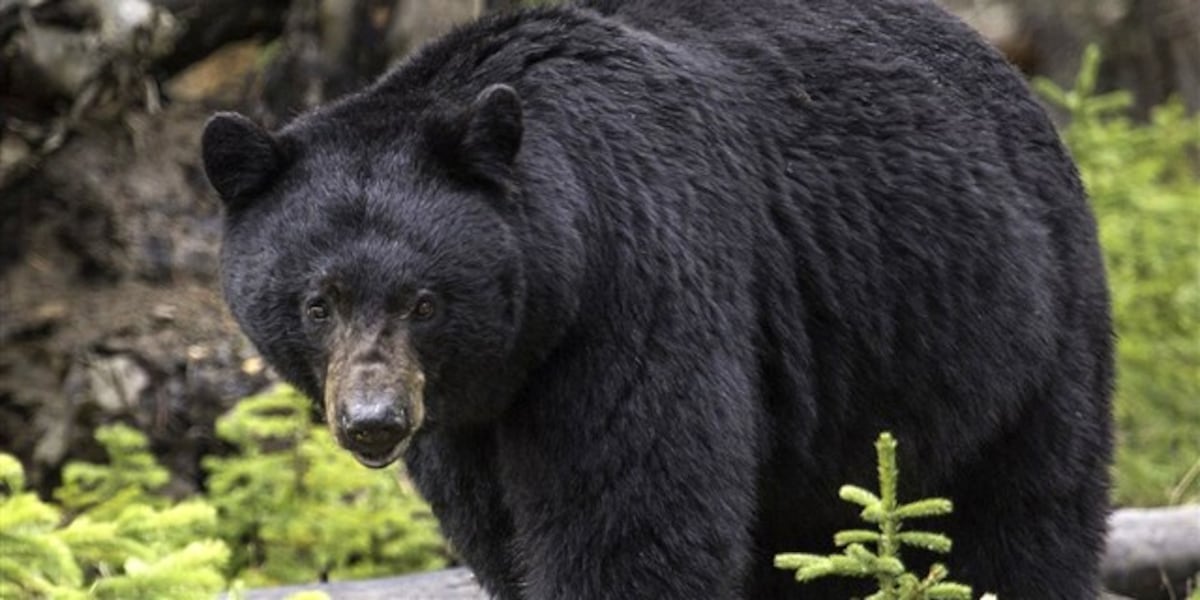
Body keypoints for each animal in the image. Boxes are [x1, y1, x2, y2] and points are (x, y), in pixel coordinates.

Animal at [201, 0, 1114, 598]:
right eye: (318, 301)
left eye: (424, 301)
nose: (374, 421)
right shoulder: (465, 422)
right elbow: (500, 536)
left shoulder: (636, 289)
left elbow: (631, 515)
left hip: (1011, 335)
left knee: (1023, 521)